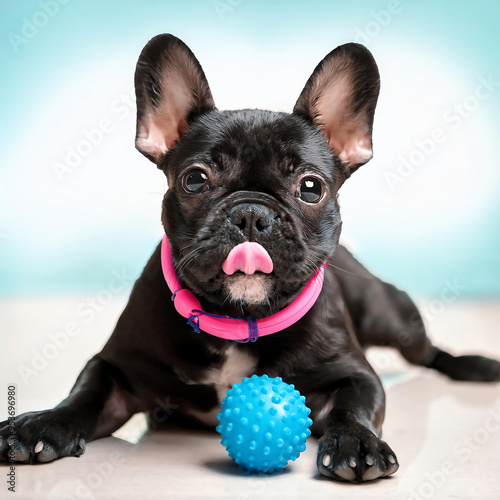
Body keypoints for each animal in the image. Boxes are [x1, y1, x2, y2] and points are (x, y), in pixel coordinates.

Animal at [0, 34, 500, 480]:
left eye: (311, 187)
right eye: (195, 180)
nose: (252, 213)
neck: (238, 321)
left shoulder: (354, 373)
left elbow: (355, 405)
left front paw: (357, 443)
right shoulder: (118, 370)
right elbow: (84, 395)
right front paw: (38, 425)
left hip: (391, 315)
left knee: (428, 350)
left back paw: (474, 365)